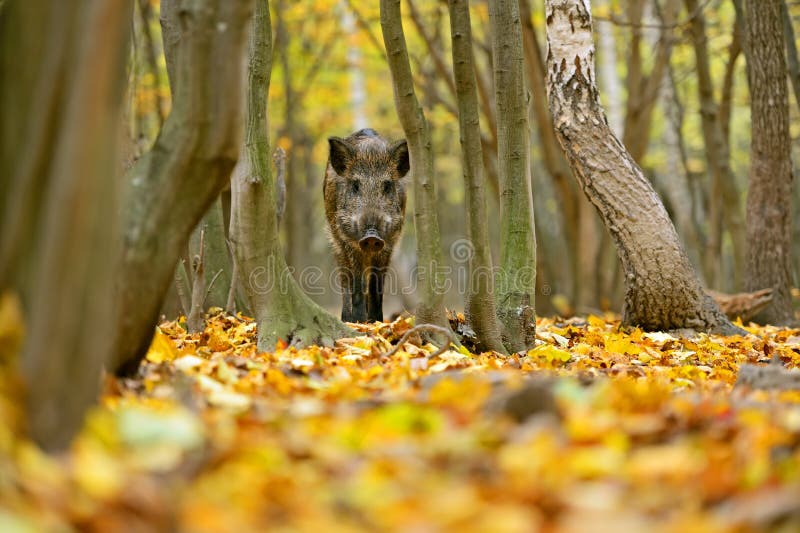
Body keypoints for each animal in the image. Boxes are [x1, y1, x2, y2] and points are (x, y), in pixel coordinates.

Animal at [323, 128, 409, 322]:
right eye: (355, 185)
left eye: (387, 185)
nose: (371, 236)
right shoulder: (347, 240)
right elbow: (356, 281)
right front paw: (359, 321)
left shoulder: (389, 243)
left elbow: (376, 284)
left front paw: (376, 321)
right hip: (335, 241)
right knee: (345, 277)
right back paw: (347, 319)